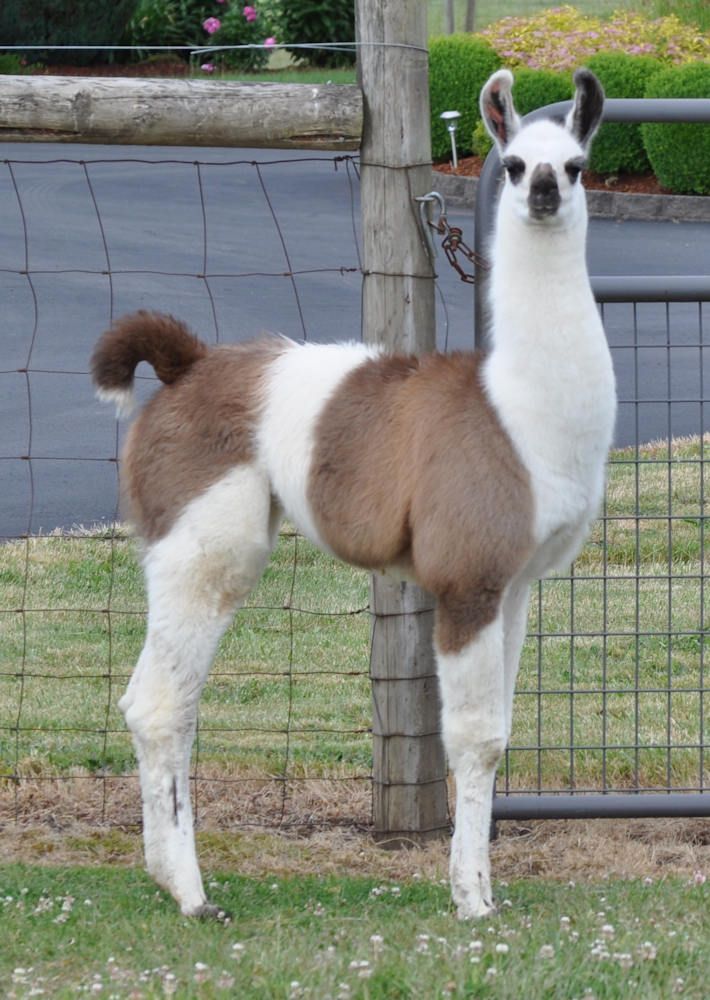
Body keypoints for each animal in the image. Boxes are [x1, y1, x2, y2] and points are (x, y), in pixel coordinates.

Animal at [91, 67, 615, 920]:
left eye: (573, 165)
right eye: (512, 166)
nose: (541, 191)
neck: (518, 413)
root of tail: (186, 364)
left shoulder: (514, 583)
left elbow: (500, 734)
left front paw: (483, 890)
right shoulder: (464, 573)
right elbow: (472, 738)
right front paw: (470, 901)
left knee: (151, 698)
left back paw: (166, 878)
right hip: (205, 531)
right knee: (162, 704)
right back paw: (195, 896)